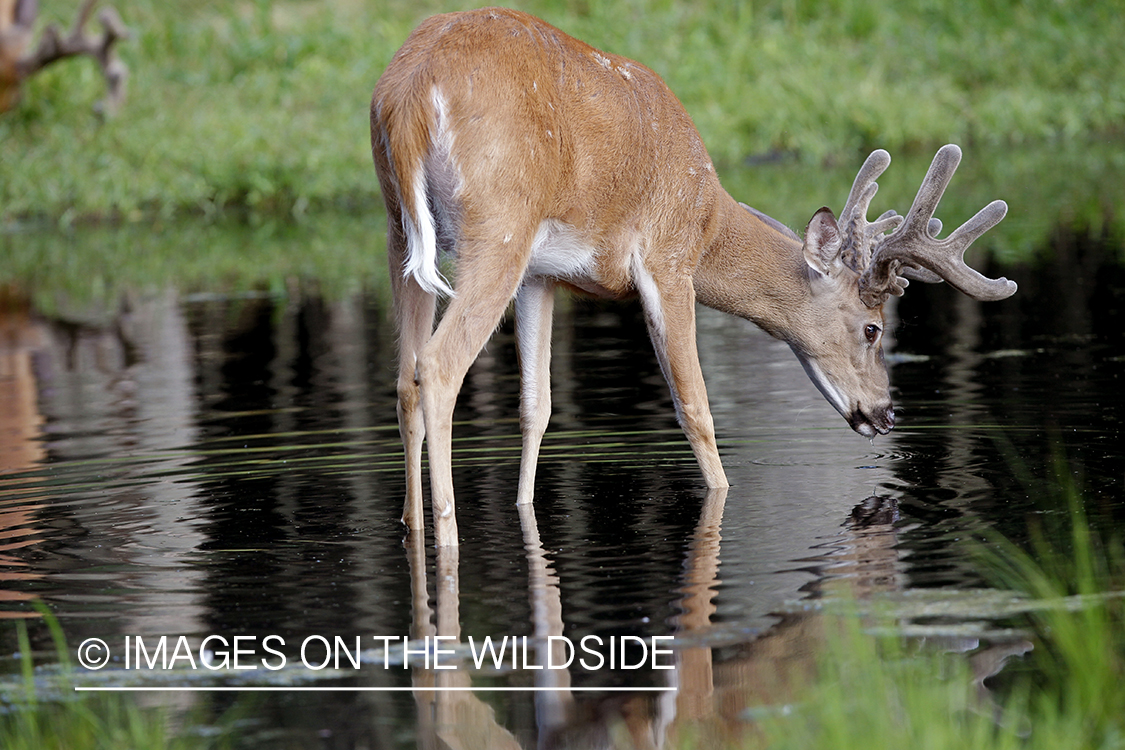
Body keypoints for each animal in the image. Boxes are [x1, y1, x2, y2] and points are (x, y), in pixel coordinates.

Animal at [371, 4, 1021, 546]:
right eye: (871, 328)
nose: (886, 413)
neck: (710, 223)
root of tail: (409, 94)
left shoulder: (542, 275)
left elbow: (539, 406)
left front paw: (526, 510)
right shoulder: (668, 259)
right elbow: (696, 406)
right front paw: (722, 495)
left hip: (402, 231)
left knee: (405, 378)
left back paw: (411, 523)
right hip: (498, 225)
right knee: (438, 365)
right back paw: (447, 532)